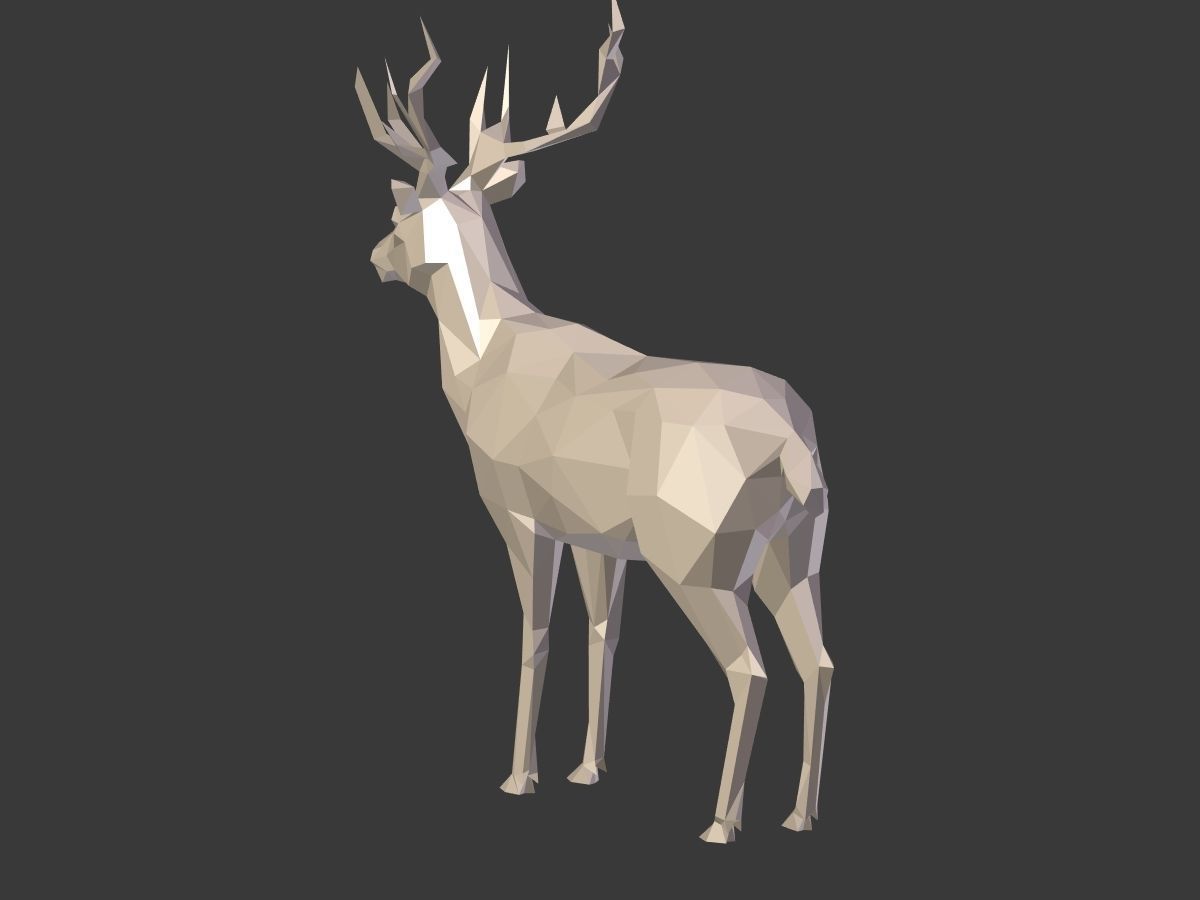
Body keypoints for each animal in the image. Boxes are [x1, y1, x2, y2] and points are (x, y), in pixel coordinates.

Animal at [355, 2, 833, 843]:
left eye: (402, 208)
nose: (377, 256)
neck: (490, 359)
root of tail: (794, 449)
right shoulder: (598, 535)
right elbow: (603, 633)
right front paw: (587, 768)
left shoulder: (521, 511)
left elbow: (535, 635)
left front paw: (520, 777)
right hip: (798, 552)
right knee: (821, 662)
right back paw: (799, 816)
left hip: (701, 558)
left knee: (751, 669)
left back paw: (722, 823)